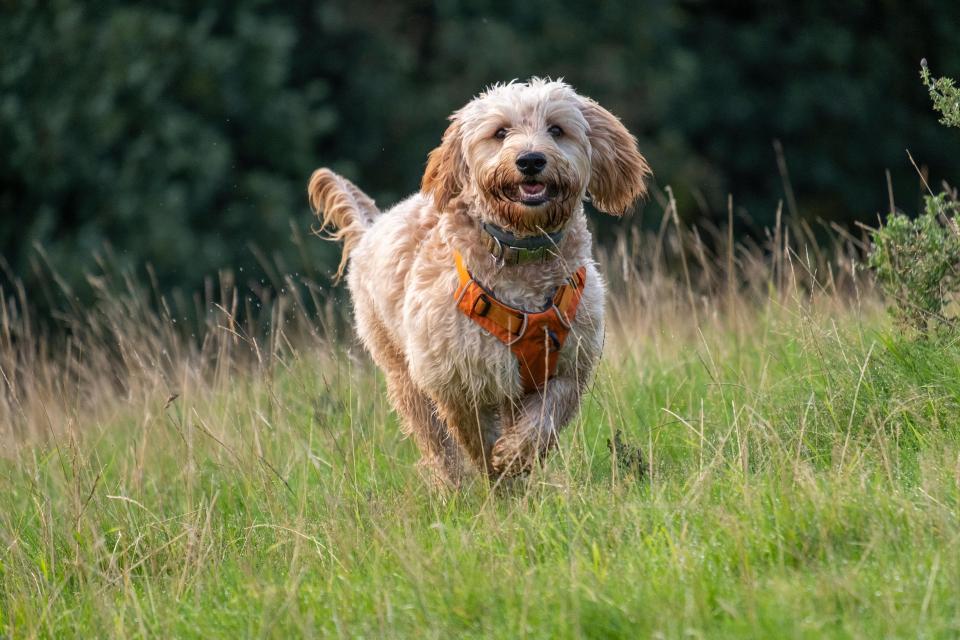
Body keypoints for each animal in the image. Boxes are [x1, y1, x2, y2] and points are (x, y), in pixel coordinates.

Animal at [308, 81, 652, 490]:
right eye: (500, 132)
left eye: (556, 129)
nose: (530, 160)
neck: (522, 253)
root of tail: (372, 227)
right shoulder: (459, 380)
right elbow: (476, 437)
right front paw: (497, 475)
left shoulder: (570, 366)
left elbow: (547, 417)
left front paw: (515, 457)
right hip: (403, 374)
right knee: (436, 441)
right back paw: (454, 485)